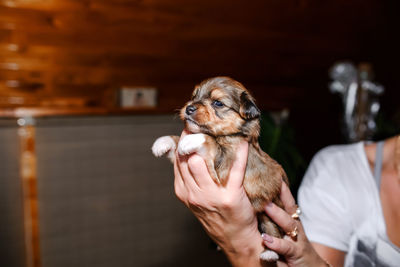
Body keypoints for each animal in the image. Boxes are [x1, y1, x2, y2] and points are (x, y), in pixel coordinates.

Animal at [151, 76, 288, 262]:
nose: (189, 108)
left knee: (272, 230)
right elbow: (177, 141)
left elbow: (209, 140)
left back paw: (269, 253)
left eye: (218, 103)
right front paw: (163, 142)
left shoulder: (223, 164)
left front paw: (190, 140)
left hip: (268, 211)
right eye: (194, 97)